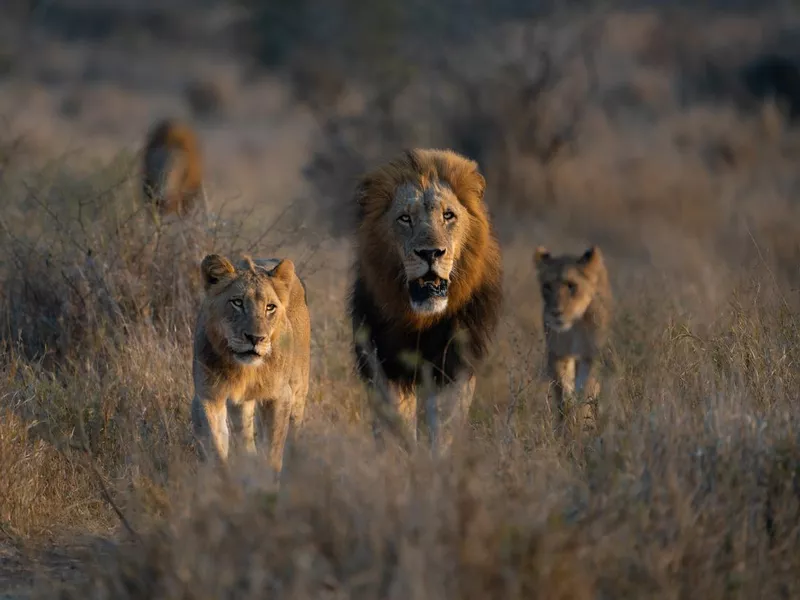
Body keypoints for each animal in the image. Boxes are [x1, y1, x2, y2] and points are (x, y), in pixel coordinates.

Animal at [192, 251, 310, 476]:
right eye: (237, 302)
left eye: (270, 307)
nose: (256, 338)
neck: (243, 370)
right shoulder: (209, 395)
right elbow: (217, 447)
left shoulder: (280, 396)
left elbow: (273, 453)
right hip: (241, 404)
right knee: (245, 438)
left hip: (299, 387)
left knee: (294, 432)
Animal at [348, 149, 500, 450]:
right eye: (405, 218)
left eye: (448, 215)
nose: (431, 253)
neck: (419, 319)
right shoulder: (384, 363)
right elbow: (395, 422)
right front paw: (401, 455)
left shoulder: (453, 364)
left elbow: (444, 425)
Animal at [536, 244, 612, 432]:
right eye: (547, 286)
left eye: (571, 285)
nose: (555, 312)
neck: (574, 325)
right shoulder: (558, 353)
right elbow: (563, 390)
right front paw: (567, 422)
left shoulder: (591, 354)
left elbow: (586, 388)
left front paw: (583, 420)